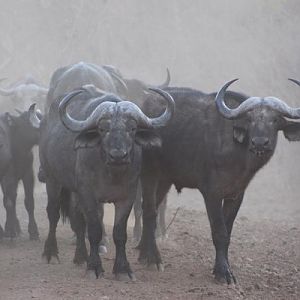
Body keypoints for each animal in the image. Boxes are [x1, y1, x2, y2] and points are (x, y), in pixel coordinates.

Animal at [0, 105, 41, 239]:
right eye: (27, 121)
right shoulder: (8, 177)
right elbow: (8, 202)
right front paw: (10, 229)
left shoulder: (28, 174)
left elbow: (29, 201)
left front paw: (33, 231)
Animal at [138, 79, 300, 284]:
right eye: (250, 120)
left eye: (275, 120)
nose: (260, 143)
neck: (237, 155)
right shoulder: (212, 194)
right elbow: (219, 231)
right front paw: (223, 272)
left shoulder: (236, 195)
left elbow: (228, 231)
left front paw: (224, 267)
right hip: (149, 174)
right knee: (150, 212)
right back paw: (153, 259)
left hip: (165, 179)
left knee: (149, 209)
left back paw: (143, 251)